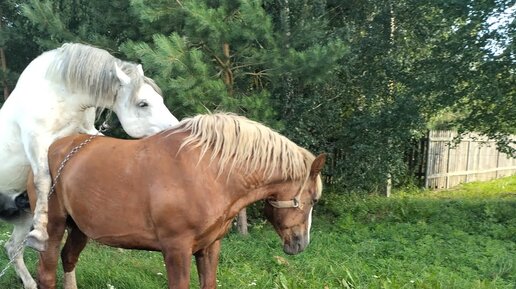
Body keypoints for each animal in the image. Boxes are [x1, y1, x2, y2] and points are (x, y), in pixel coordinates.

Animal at [0, 41, 178, 286]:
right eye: (143, 104)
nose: (177, 129)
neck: (57, 94)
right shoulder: (36, 143)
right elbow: (43, 181)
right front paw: (40, 234)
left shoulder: (87, 132)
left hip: (23, 217)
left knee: (12, 248)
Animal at [28, 112, 324, 288]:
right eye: (312, 199)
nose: (301, 243)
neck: (208, 172)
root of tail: (56, 147)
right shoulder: (176, 249)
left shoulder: (209, 246)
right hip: (53, 226)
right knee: (47, 274)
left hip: (80, 227)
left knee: (68, 259)